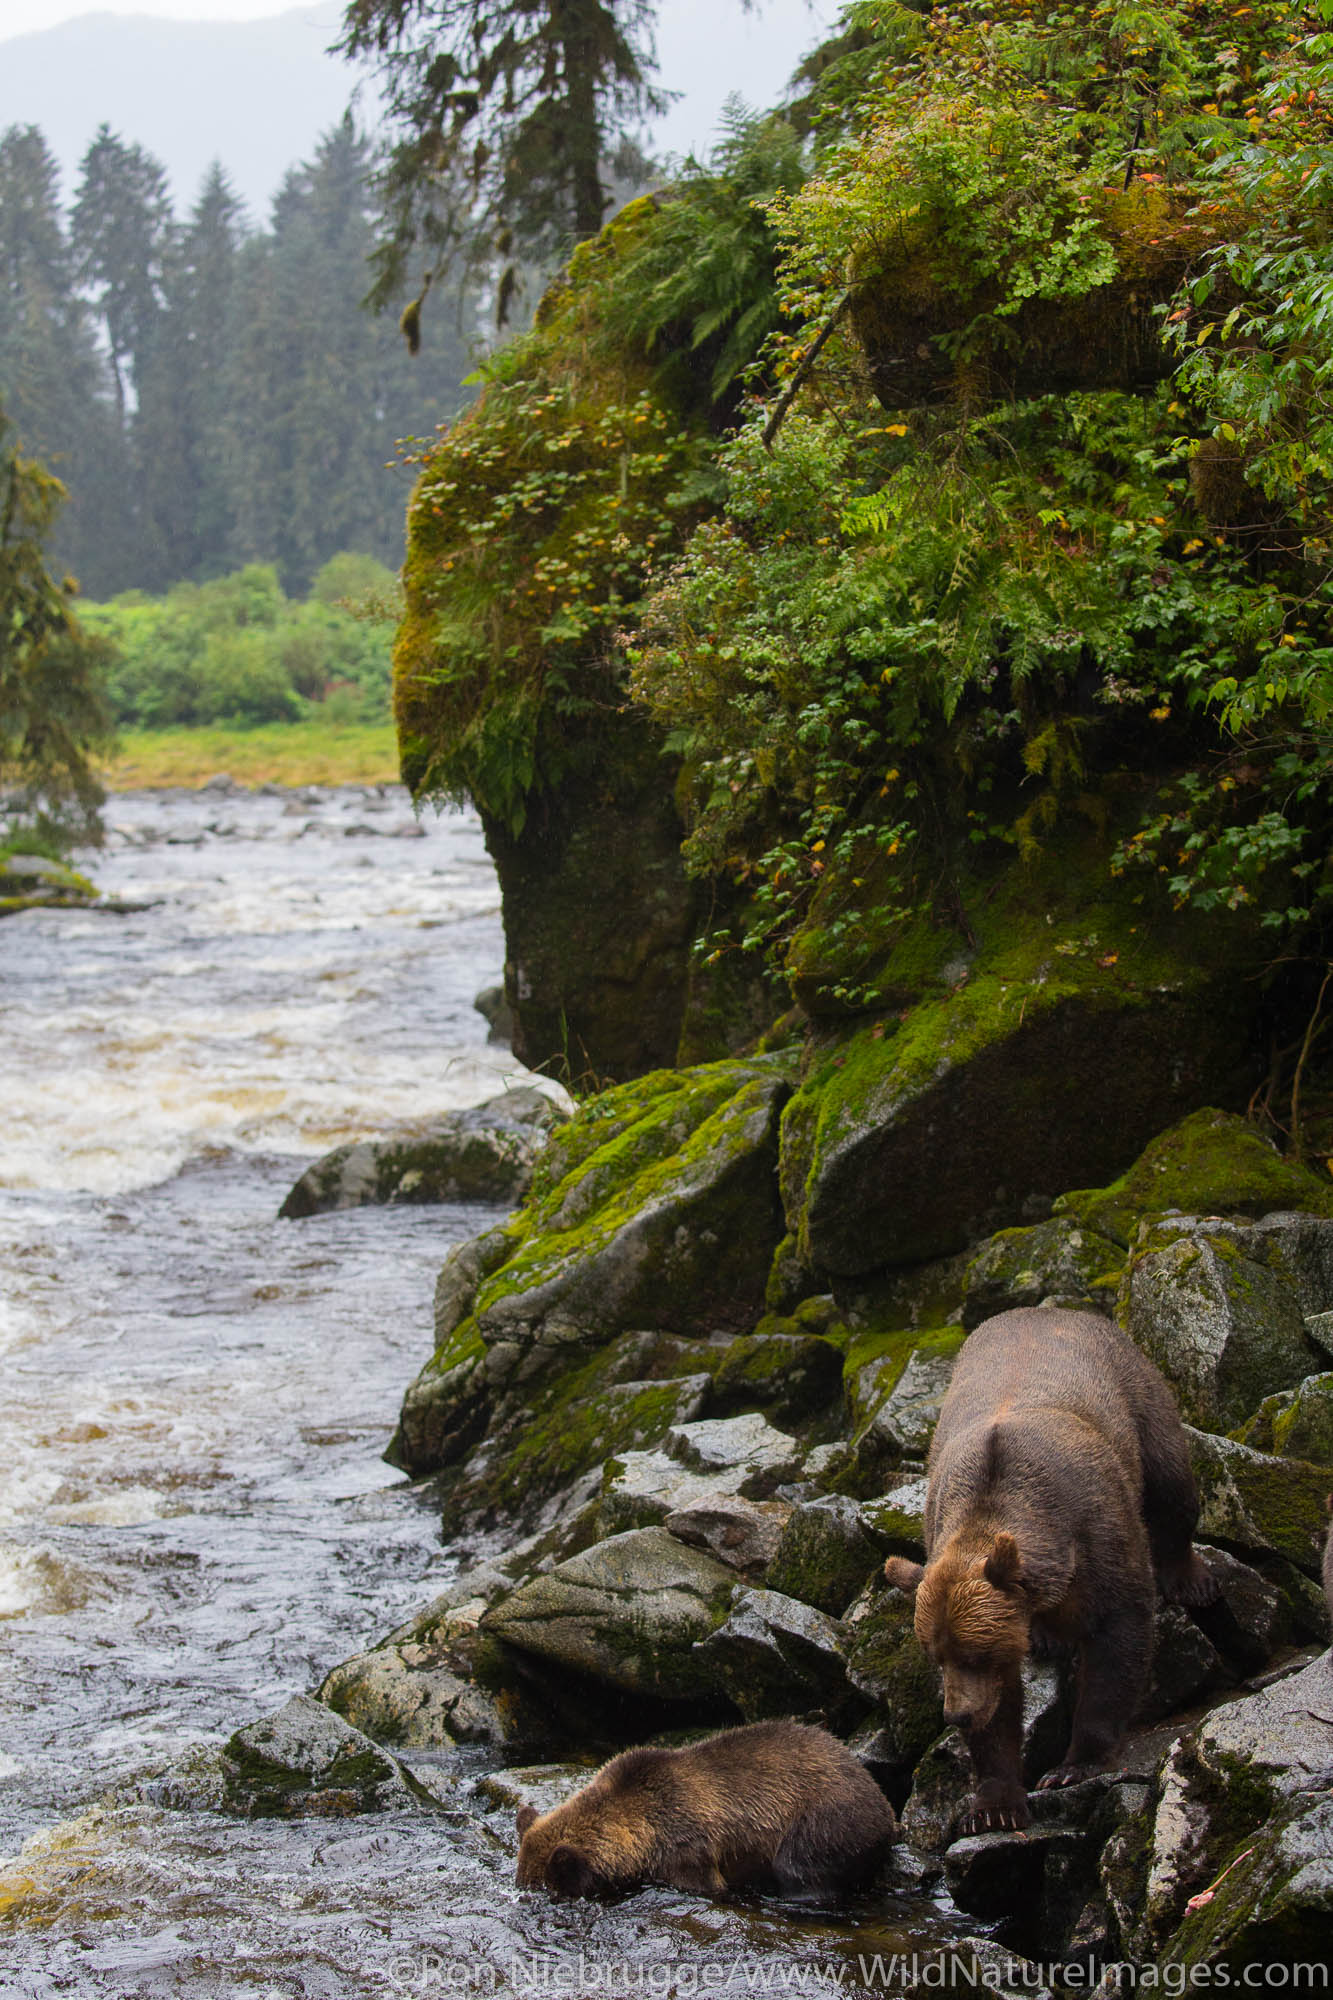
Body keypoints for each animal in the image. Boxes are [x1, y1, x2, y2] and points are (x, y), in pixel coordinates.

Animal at [880, 1304, 1216, 1832]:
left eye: (975, 1653)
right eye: (936, 1656)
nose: (957, 1716)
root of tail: (1052, 1309)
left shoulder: (1098, 1533)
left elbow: (1119, 1640)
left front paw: (1073, 1765)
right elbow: (1002, 1702)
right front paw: (994, 1805)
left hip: (1140, 1392)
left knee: (1171, 1482)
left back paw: (1191, 1580)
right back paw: (1047, 1637)